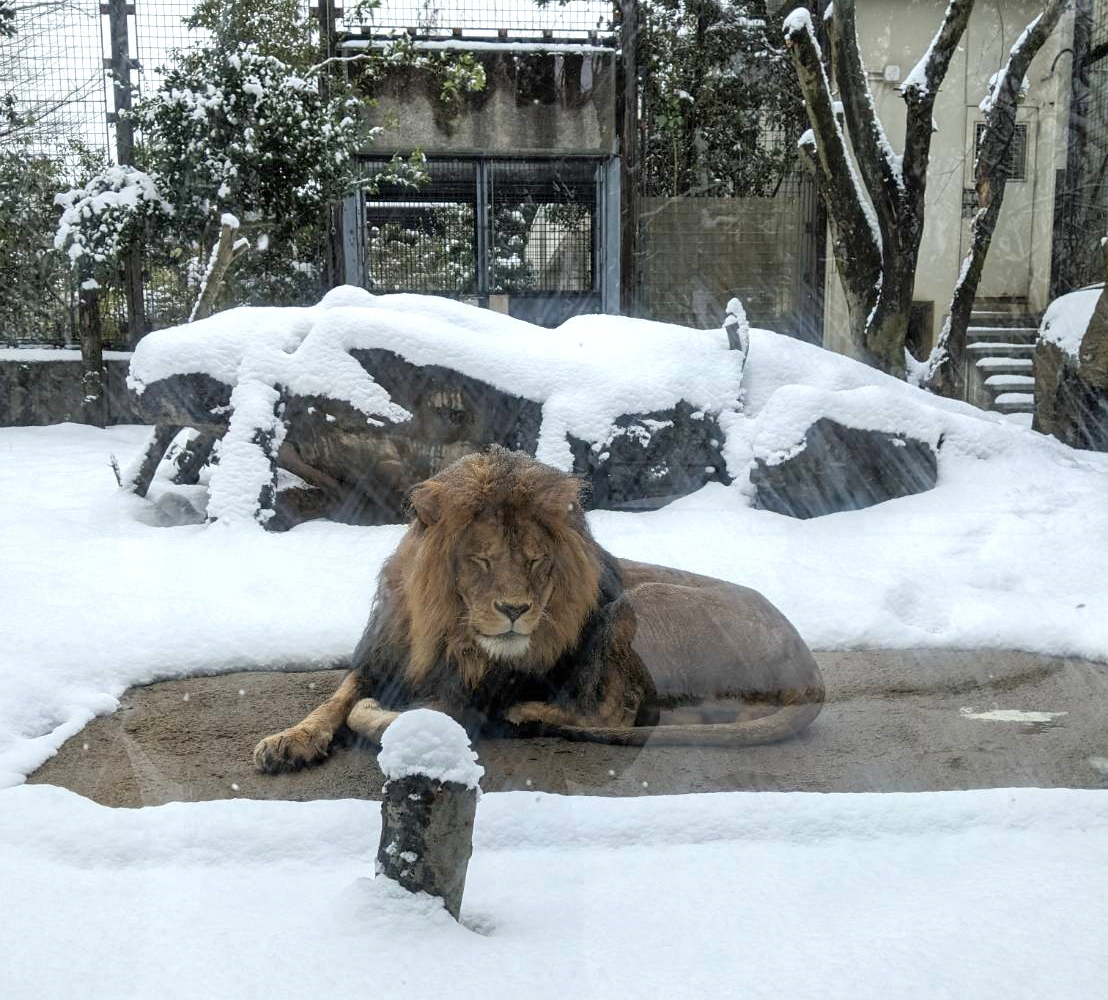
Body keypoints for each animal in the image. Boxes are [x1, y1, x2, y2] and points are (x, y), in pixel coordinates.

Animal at [253, 447, 824, 775]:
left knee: (613, 714)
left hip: (639, 603)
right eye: (481, 559)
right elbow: (336, 698)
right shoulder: (383, 655)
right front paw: (288, 740)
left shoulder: (469, 698)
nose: (514, 609)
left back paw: (527, 714)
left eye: (535, 560)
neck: (447, 634)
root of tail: (808, 668)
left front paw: (375, 716)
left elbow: (393, 714)